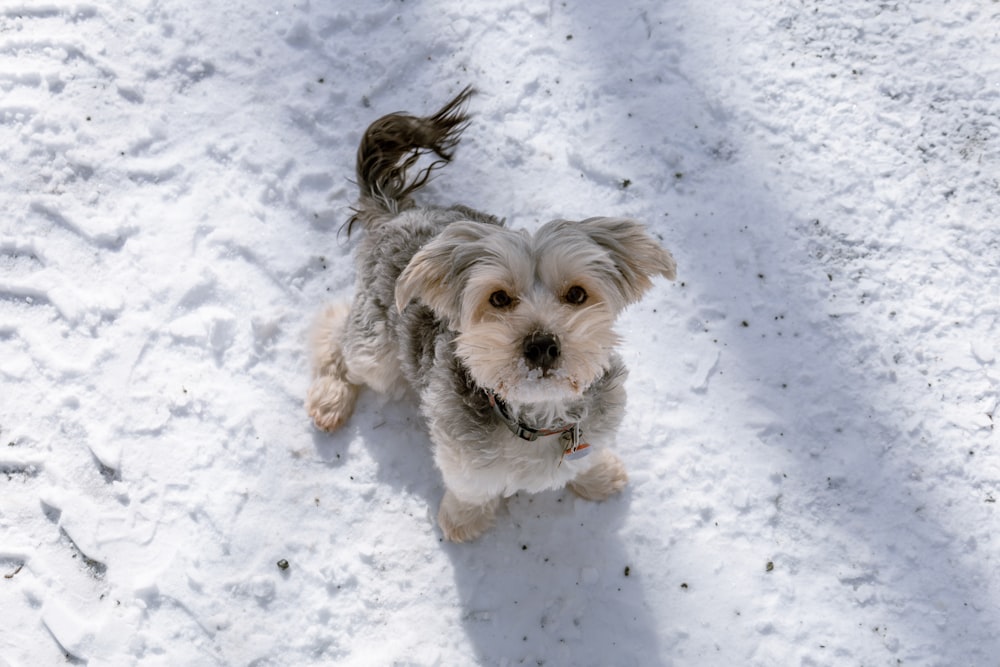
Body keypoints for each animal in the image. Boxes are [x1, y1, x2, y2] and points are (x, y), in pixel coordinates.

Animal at [308, 87, 676, 544]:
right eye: (498, 298)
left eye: (576, 294)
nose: (541, 345)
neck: (538, 418)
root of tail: (395, 212)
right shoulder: (463, 459)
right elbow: (471, 489)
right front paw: (463, 521)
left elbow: (587, 458)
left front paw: (599, 476)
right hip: (376, 352)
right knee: (334, 329)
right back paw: (329, 399)